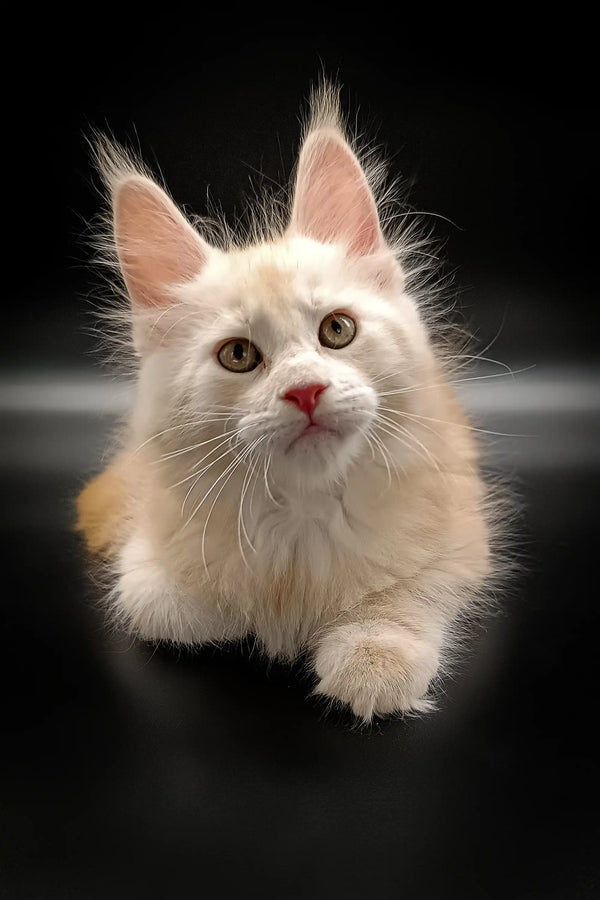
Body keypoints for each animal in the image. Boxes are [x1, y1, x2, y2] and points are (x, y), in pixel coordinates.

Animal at [76, 81, 496, 720]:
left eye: (337, 330)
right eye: (239, 355)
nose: (306, 391)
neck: (303, 510)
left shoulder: (461, 535)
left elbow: (410, 591)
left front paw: (373, 657)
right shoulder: (145, 549)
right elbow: (161, 603)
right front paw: (242, 616)